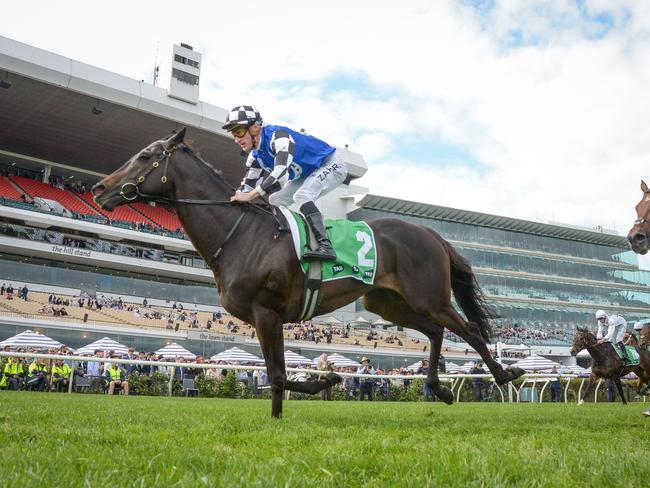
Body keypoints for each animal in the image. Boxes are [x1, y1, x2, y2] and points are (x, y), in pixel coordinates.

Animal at [93, 129, 524, 416]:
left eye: (146, 156)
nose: (99, 189)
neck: (241, 234)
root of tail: (431, 233)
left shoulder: (267, 311)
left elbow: (278, 375)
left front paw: (323, 383)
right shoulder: (264, 317)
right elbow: (276, 374)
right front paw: (291, 407)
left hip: (428, 296)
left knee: (469, 330)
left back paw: (506, 375)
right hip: (388, 303)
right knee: (435, 332)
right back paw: (441, 389)